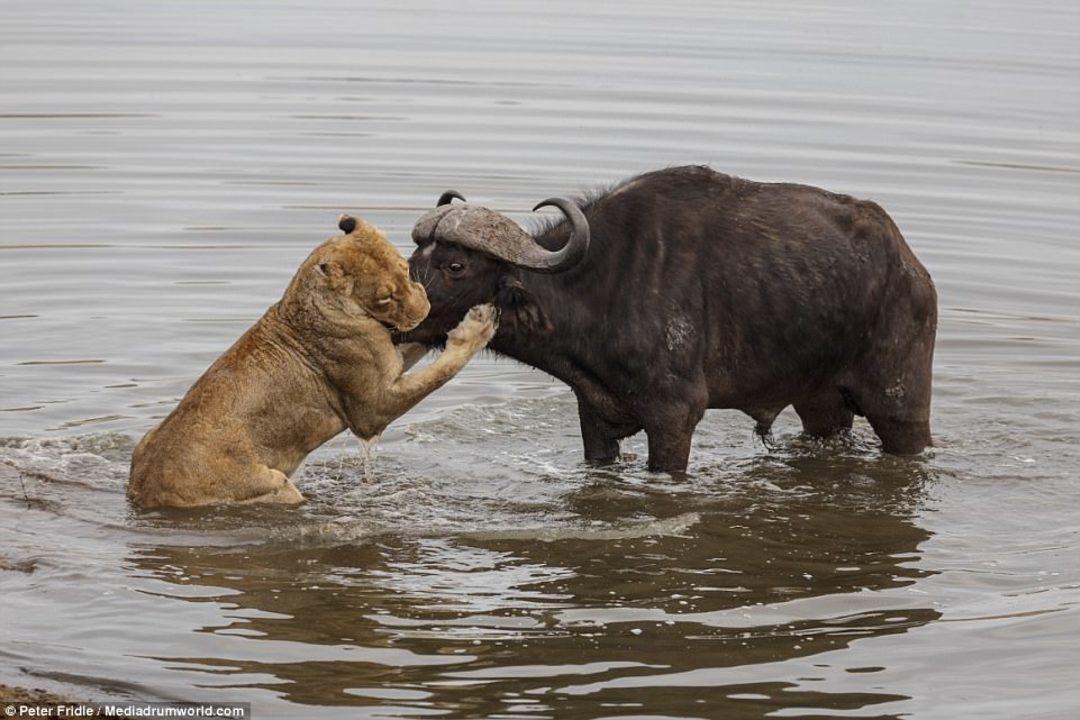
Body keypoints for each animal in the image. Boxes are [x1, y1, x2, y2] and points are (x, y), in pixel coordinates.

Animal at [406, 168, 937, 472]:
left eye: (456, 265)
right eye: (415, 257)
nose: (402, 315)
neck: (599, 288)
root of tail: (911, 269)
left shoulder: (674, 418)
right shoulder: (594, 416)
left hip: (901, 403)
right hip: (821, 407)